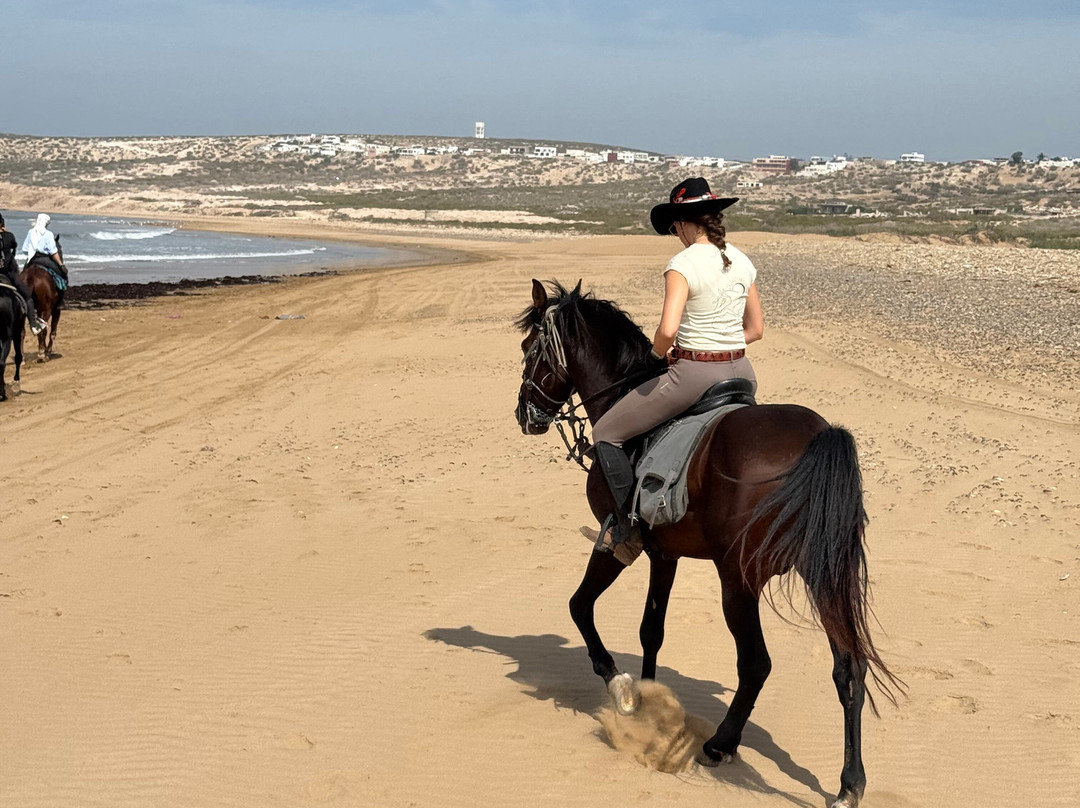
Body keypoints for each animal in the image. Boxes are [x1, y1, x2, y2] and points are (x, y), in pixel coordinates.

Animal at [514, 280, 900, 808]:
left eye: (529, 351)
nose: (523, 415)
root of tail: (818, 436)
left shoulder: (618, 540)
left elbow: (580, 606)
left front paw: (622, 688)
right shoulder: (664, 553)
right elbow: (651, 629)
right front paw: (649, 697)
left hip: (738, 579)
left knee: (756, 664)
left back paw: (722, 743)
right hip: (822, 575)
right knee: (849, 669)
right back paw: (849, 783)